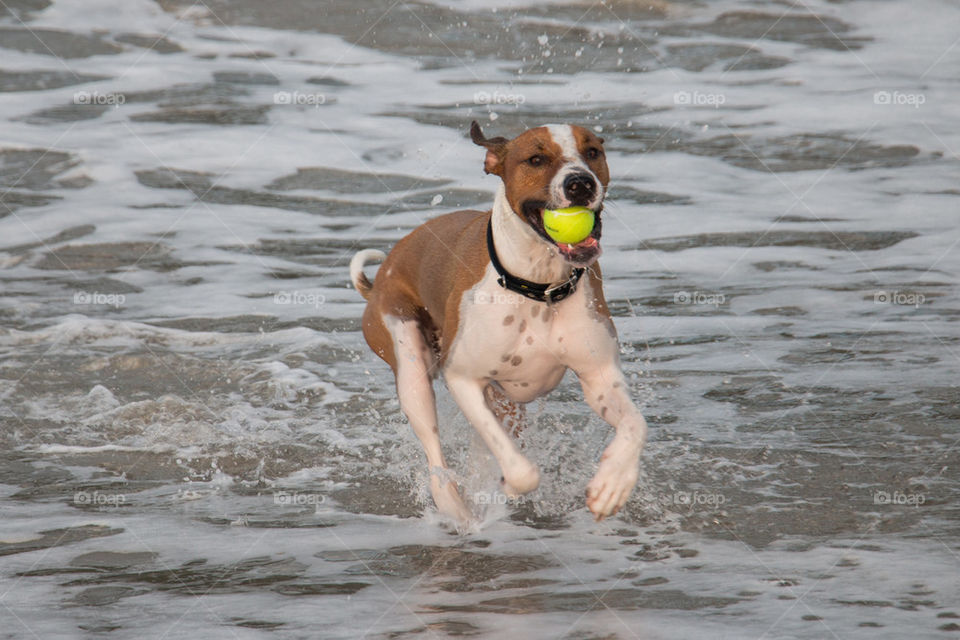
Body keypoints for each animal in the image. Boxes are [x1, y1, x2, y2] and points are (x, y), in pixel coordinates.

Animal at [348, 121, 648, 524]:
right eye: (536, 159)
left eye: (592, 152)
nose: (581, 183)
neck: (538, 287)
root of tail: (380, 277)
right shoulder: (463, 378)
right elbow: (522, 471)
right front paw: (508, 485)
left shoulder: (600, 376)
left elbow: (635, 424)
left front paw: (613, 483)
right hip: (408, 362)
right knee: (434, 450)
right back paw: (454, 508)